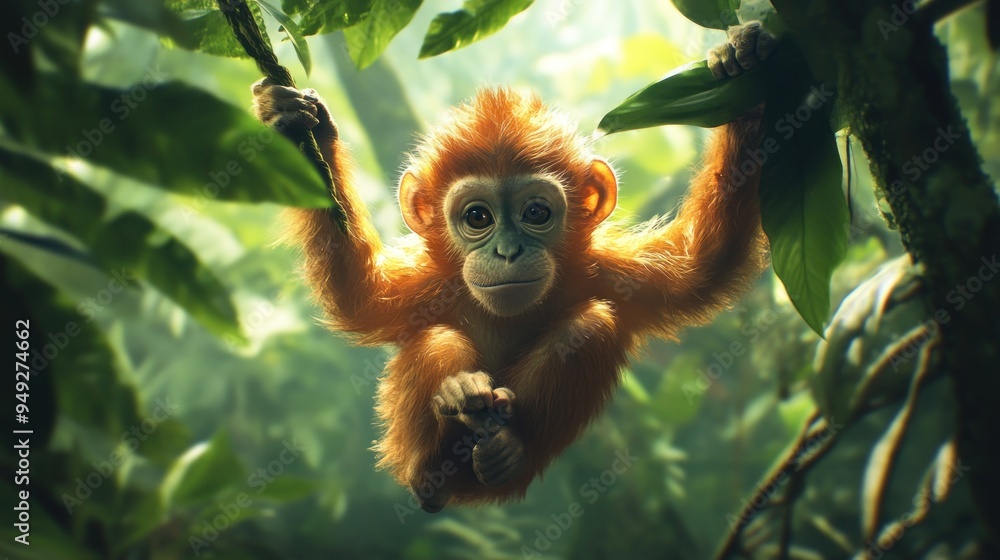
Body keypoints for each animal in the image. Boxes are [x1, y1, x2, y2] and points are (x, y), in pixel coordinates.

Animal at [252, 22, 774, 512]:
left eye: (536, 213)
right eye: (478, 218)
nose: (507, 251)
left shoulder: (607, 270)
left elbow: (703, 265)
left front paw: (741, 66)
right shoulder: (429, 284)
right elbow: (356, 292)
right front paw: (298, 123)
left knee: (591, 326)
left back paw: (503, 449)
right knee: (441, 341)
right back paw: (451, 422)